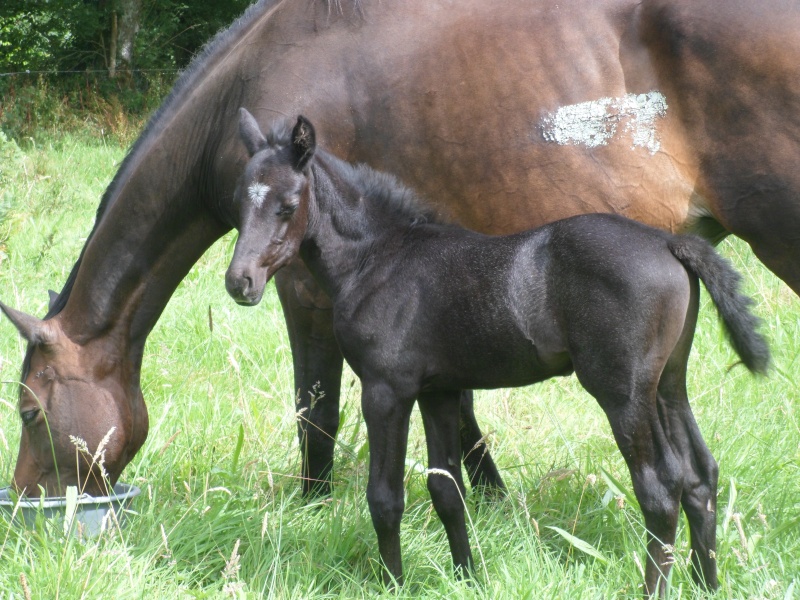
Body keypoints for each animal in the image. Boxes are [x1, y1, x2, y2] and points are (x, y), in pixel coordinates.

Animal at [0, 0, 796, 506]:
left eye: (31, 412)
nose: (27, 501)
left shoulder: (305, 288)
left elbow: (316, 409)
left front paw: (313, 508)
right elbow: (460, 408)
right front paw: (490, 503)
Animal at [223, 110, 768, 592]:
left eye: (287, 205)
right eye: (238, 205)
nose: (239, 282)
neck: (377, 258)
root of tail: (668, 243)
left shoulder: (386, 391)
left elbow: (385, 498)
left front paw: (393, 583)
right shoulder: (439, 392)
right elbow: (447, 490)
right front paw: (468, 578)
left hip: (623, 391)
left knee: (659, 487)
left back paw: (654, 588)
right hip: (668, 383)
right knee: (700, 476)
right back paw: (707, 583)